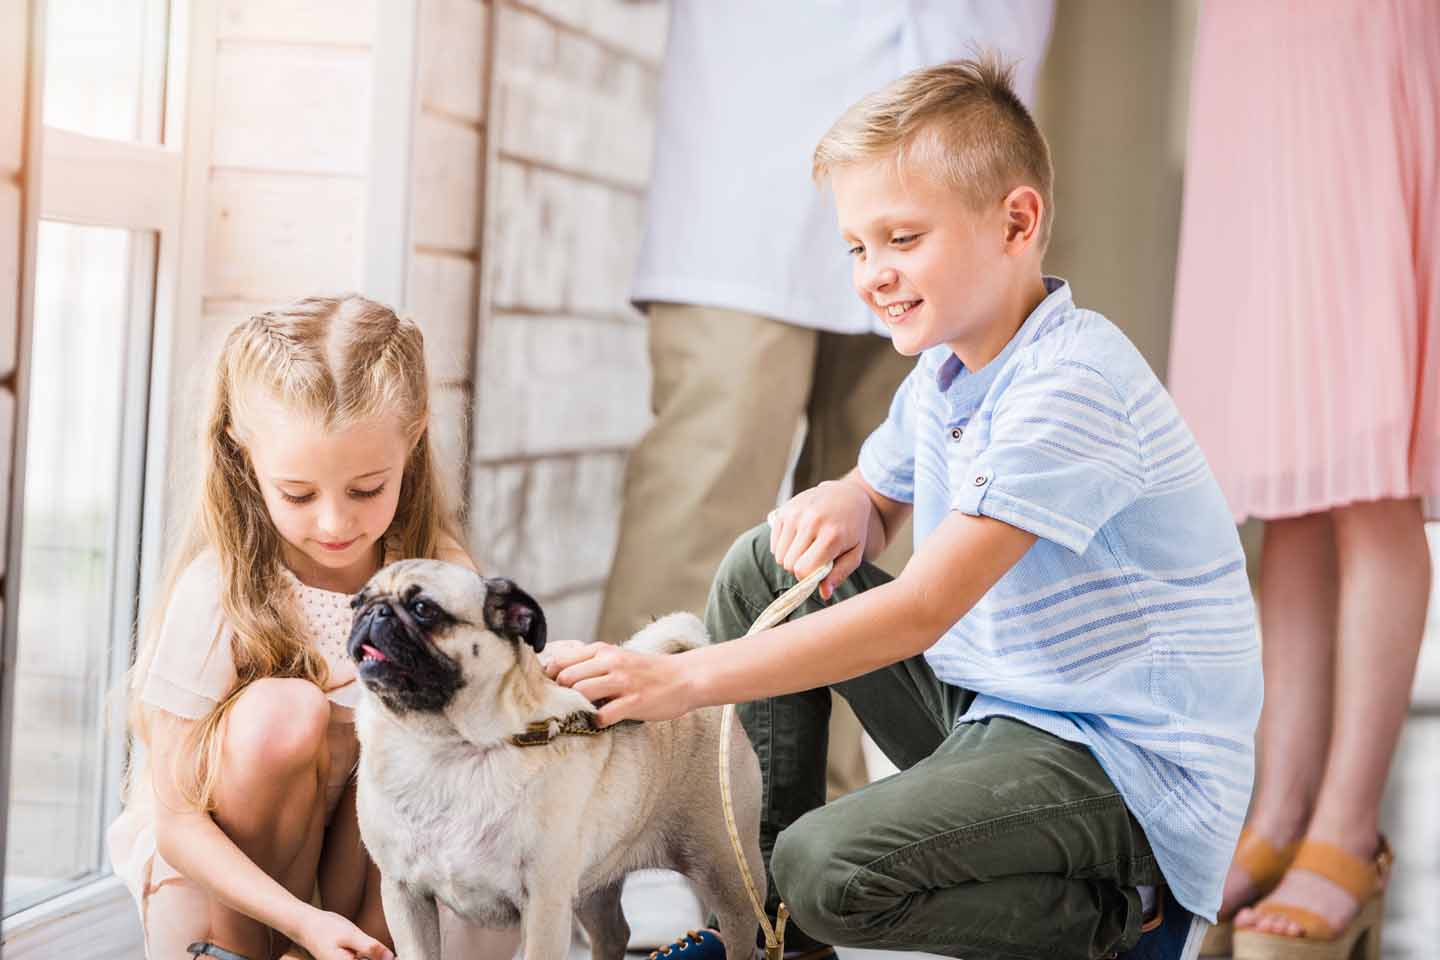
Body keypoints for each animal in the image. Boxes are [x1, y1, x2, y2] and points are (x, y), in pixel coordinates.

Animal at [347, 558, 766, 960]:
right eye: (356, 603)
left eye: (423, 609)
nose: (373, 612)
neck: (447, 747)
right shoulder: (404, 893)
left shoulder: (544, 903)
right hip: (591, 887)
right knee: (614, 934)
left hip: (729, 875)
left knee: (744, 939)